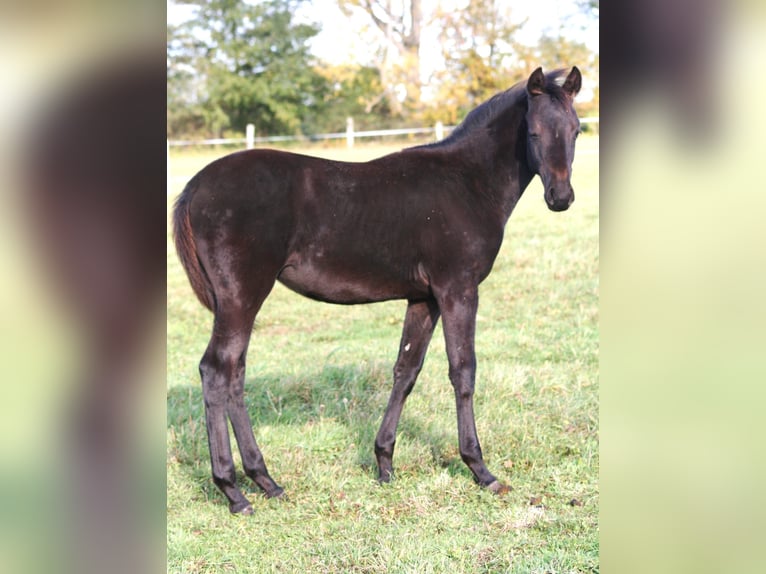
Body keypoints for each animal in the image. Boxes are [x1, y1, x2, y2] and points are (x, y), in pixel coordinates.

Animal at [173, 66, 582, 514]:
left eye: (576, 130)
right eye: (534, 132)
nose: (560, 198)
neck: (468, 184)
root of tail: (195, 186)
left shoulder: (423, 298)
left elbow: (406, 370)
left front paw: (384, 463)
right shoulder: (457, 289)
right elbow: (463, 370)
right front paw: (480, 469)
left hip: (238, 302)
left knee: (234, 374)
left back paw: (265, 480)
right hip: (241, 296)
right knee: (217, 371)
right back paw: (233, 490)